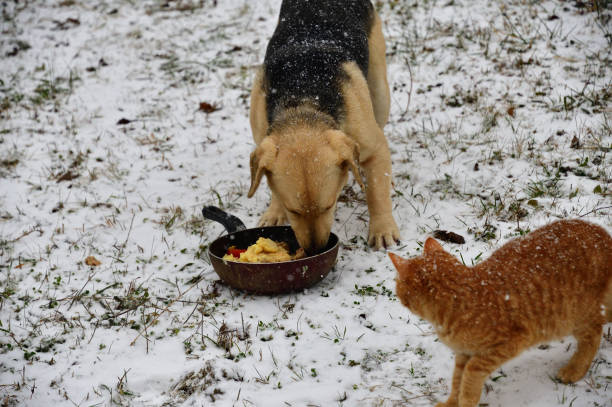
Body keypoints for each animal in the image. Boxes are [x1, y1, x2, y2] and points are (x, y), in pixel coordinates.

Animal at [246, 0, 400, 253]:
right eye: (293, 210)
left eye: (329, 205)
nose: (316, 250)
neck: (303, 99)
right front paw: (274, 212)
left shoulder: (373, 148)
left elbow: (377, 192)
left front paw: (382, 229)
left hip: (380, 93)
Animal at [390, 220, 608, 407]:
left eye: (398, 288)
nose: (397, 296)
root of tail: (601, 233)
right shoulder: (463, 353)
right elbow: (457, 379)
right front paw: (452, 402)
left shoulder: (509, 344)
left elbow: (470, 374)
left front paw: (466, 400)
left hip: (574, 317)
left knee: (593, 336)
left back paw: (574, 370)